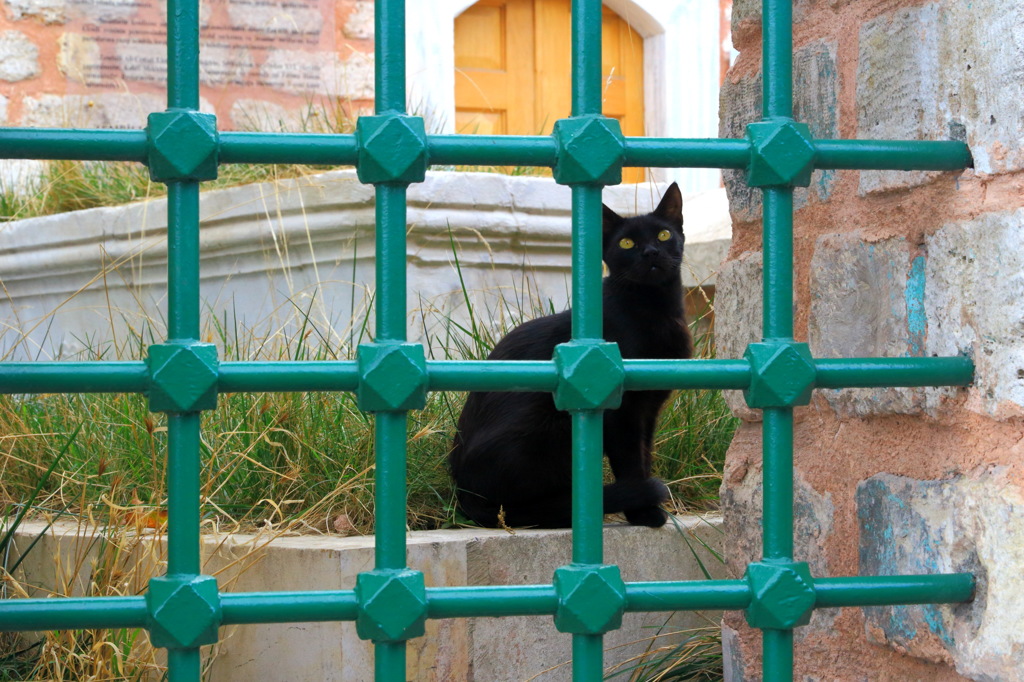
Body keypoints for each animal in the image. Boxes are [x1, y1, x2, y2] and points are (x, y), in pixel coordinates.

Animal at [446, 183, 692, 528]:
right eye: (626, 243)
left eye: (664, 235)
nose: (650, 253)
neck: (656, 309)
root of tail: (464, 497)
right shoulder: (621, 413)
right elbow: (631, 462)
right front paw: (644, 512)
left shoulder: (649, 409)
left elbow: (644, 455)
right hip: (553, 424)